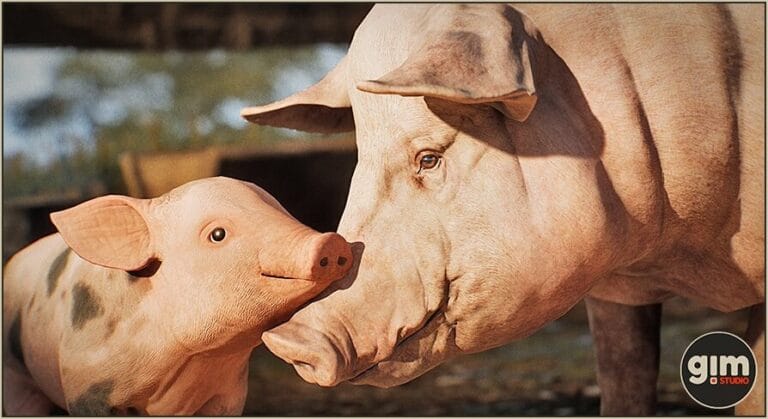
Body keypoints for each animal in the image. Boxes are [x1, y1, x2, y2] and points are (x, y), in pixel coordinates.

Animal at [2, 176, 352, 415]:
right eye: (217, 234)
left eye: (282, 210)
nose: (331, 242)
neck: (188, 356)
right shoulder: (86, 388)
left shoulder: (229, 393)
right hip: (15, 379)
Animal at [241, 4, 765, 415]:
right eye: (359, 158)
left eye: (429, 157)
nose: (288, 339)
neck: (677, 257)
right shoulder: (616, 292)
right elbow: (623, 383)